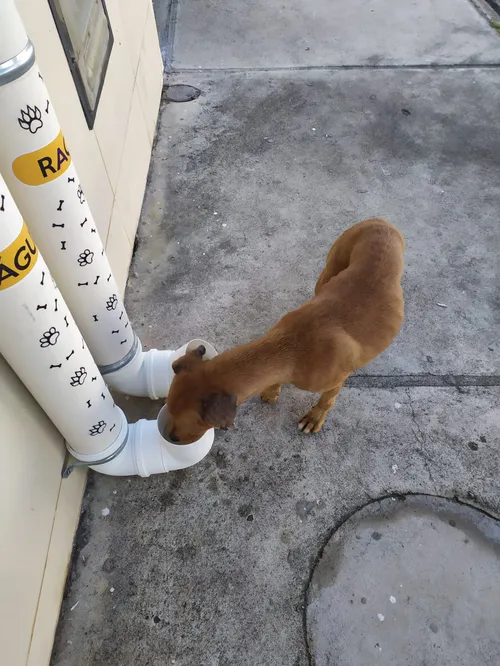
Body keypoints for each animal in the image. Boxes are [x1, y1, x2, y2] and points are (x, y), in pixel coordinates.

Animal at [166, 218, 404, 444]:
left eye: (185, 427)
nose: (169, 437)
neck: (291, 347)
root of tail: (382, 222)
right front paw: (272, 391)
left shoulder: (337, 379)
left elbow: (327, 400)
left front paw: (315, 417)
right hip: (329, 272)